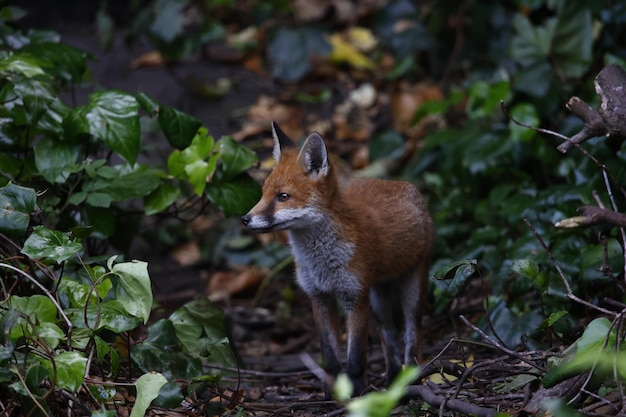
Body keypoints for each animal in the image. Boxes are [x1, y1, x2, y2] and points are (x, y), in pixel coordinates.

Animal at [240, 121, 434, 396]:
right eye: (263, 194)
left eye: (283, 197)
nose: (245, 219)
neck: (321, 264)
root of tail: (402, 185)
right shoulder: (319, 297)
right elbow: (330, 357)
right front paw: (331, 393)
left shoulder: (355, 298)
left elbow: (356, 359)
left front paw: (358, 394)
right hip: (378, 301)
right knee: (389, 337)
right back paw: (392, 381)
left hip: (412, 291)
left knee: (412, 336)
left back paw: (410, 381)